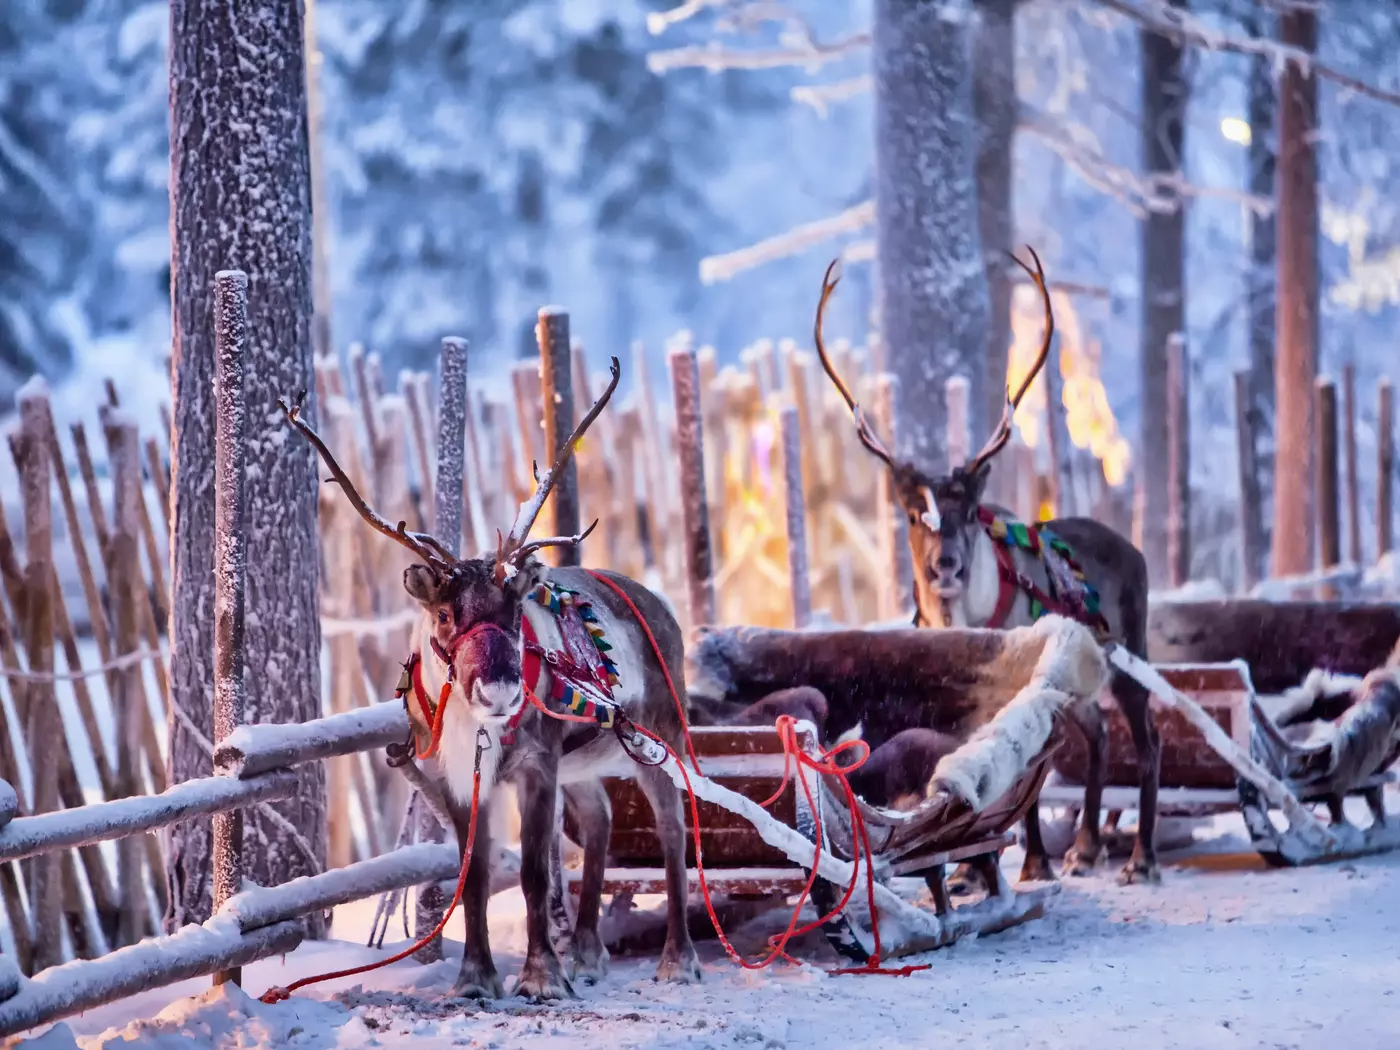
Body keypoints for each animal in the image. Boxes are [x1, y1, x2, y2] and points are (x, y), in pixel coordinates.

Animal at [279, 357, 702, 1001]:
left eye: (513, 611)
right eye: (444, 614)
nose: (499, 692)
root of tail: (662, 606)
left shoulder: (536, 765)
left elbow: (531, 873)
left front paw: (541, 976)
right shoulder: (455, 776)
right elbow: (472, 875)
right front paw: (476, 977)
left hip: (658, 737)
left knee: (673, 829)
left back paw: (678, 958)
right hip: (583, 761)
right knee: (601, 818)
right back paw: (587, 954)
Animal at [812, 249, 1162, 886]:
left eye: (969, 511)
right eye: (912, 513)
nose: (944, 565)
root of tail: (1134, 549)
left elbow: (1022, 781)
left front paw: (1030, 864)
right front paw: (972, 870)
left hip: (1131, 657)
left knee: (1148, 742)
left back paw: (1140, 858)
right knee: (1100, 737)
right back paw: (1085, 847)